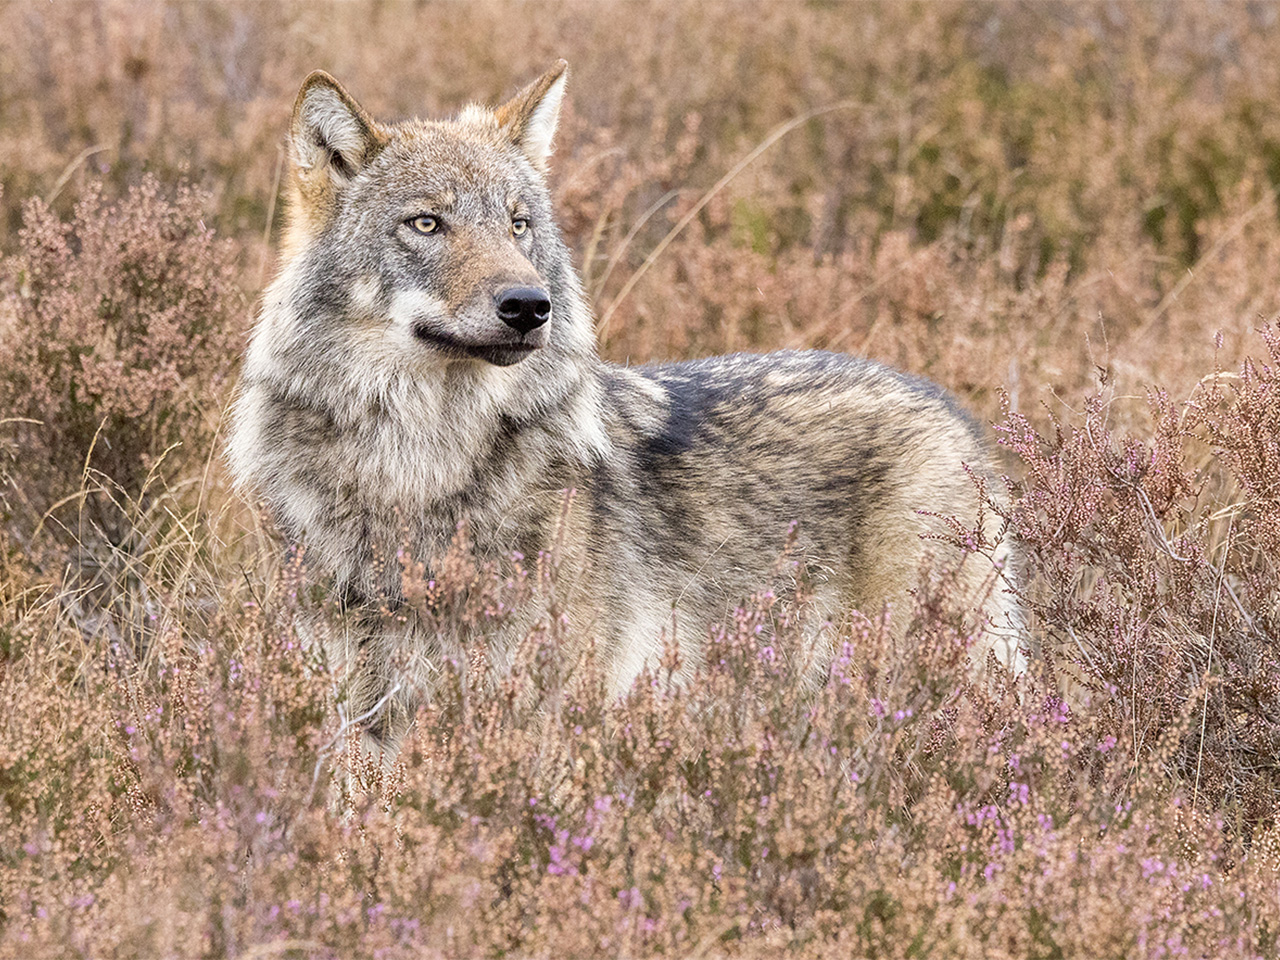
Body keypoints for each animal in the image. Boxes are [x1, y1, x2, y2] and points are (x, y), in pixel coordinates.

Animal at [225, 62, 1024, 752]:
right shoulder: (361, 718)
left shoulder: (546, 717)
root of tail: (950, 409)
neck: (418, 472)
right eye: (426, 224)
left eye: (517, 224)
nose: (529, 306)